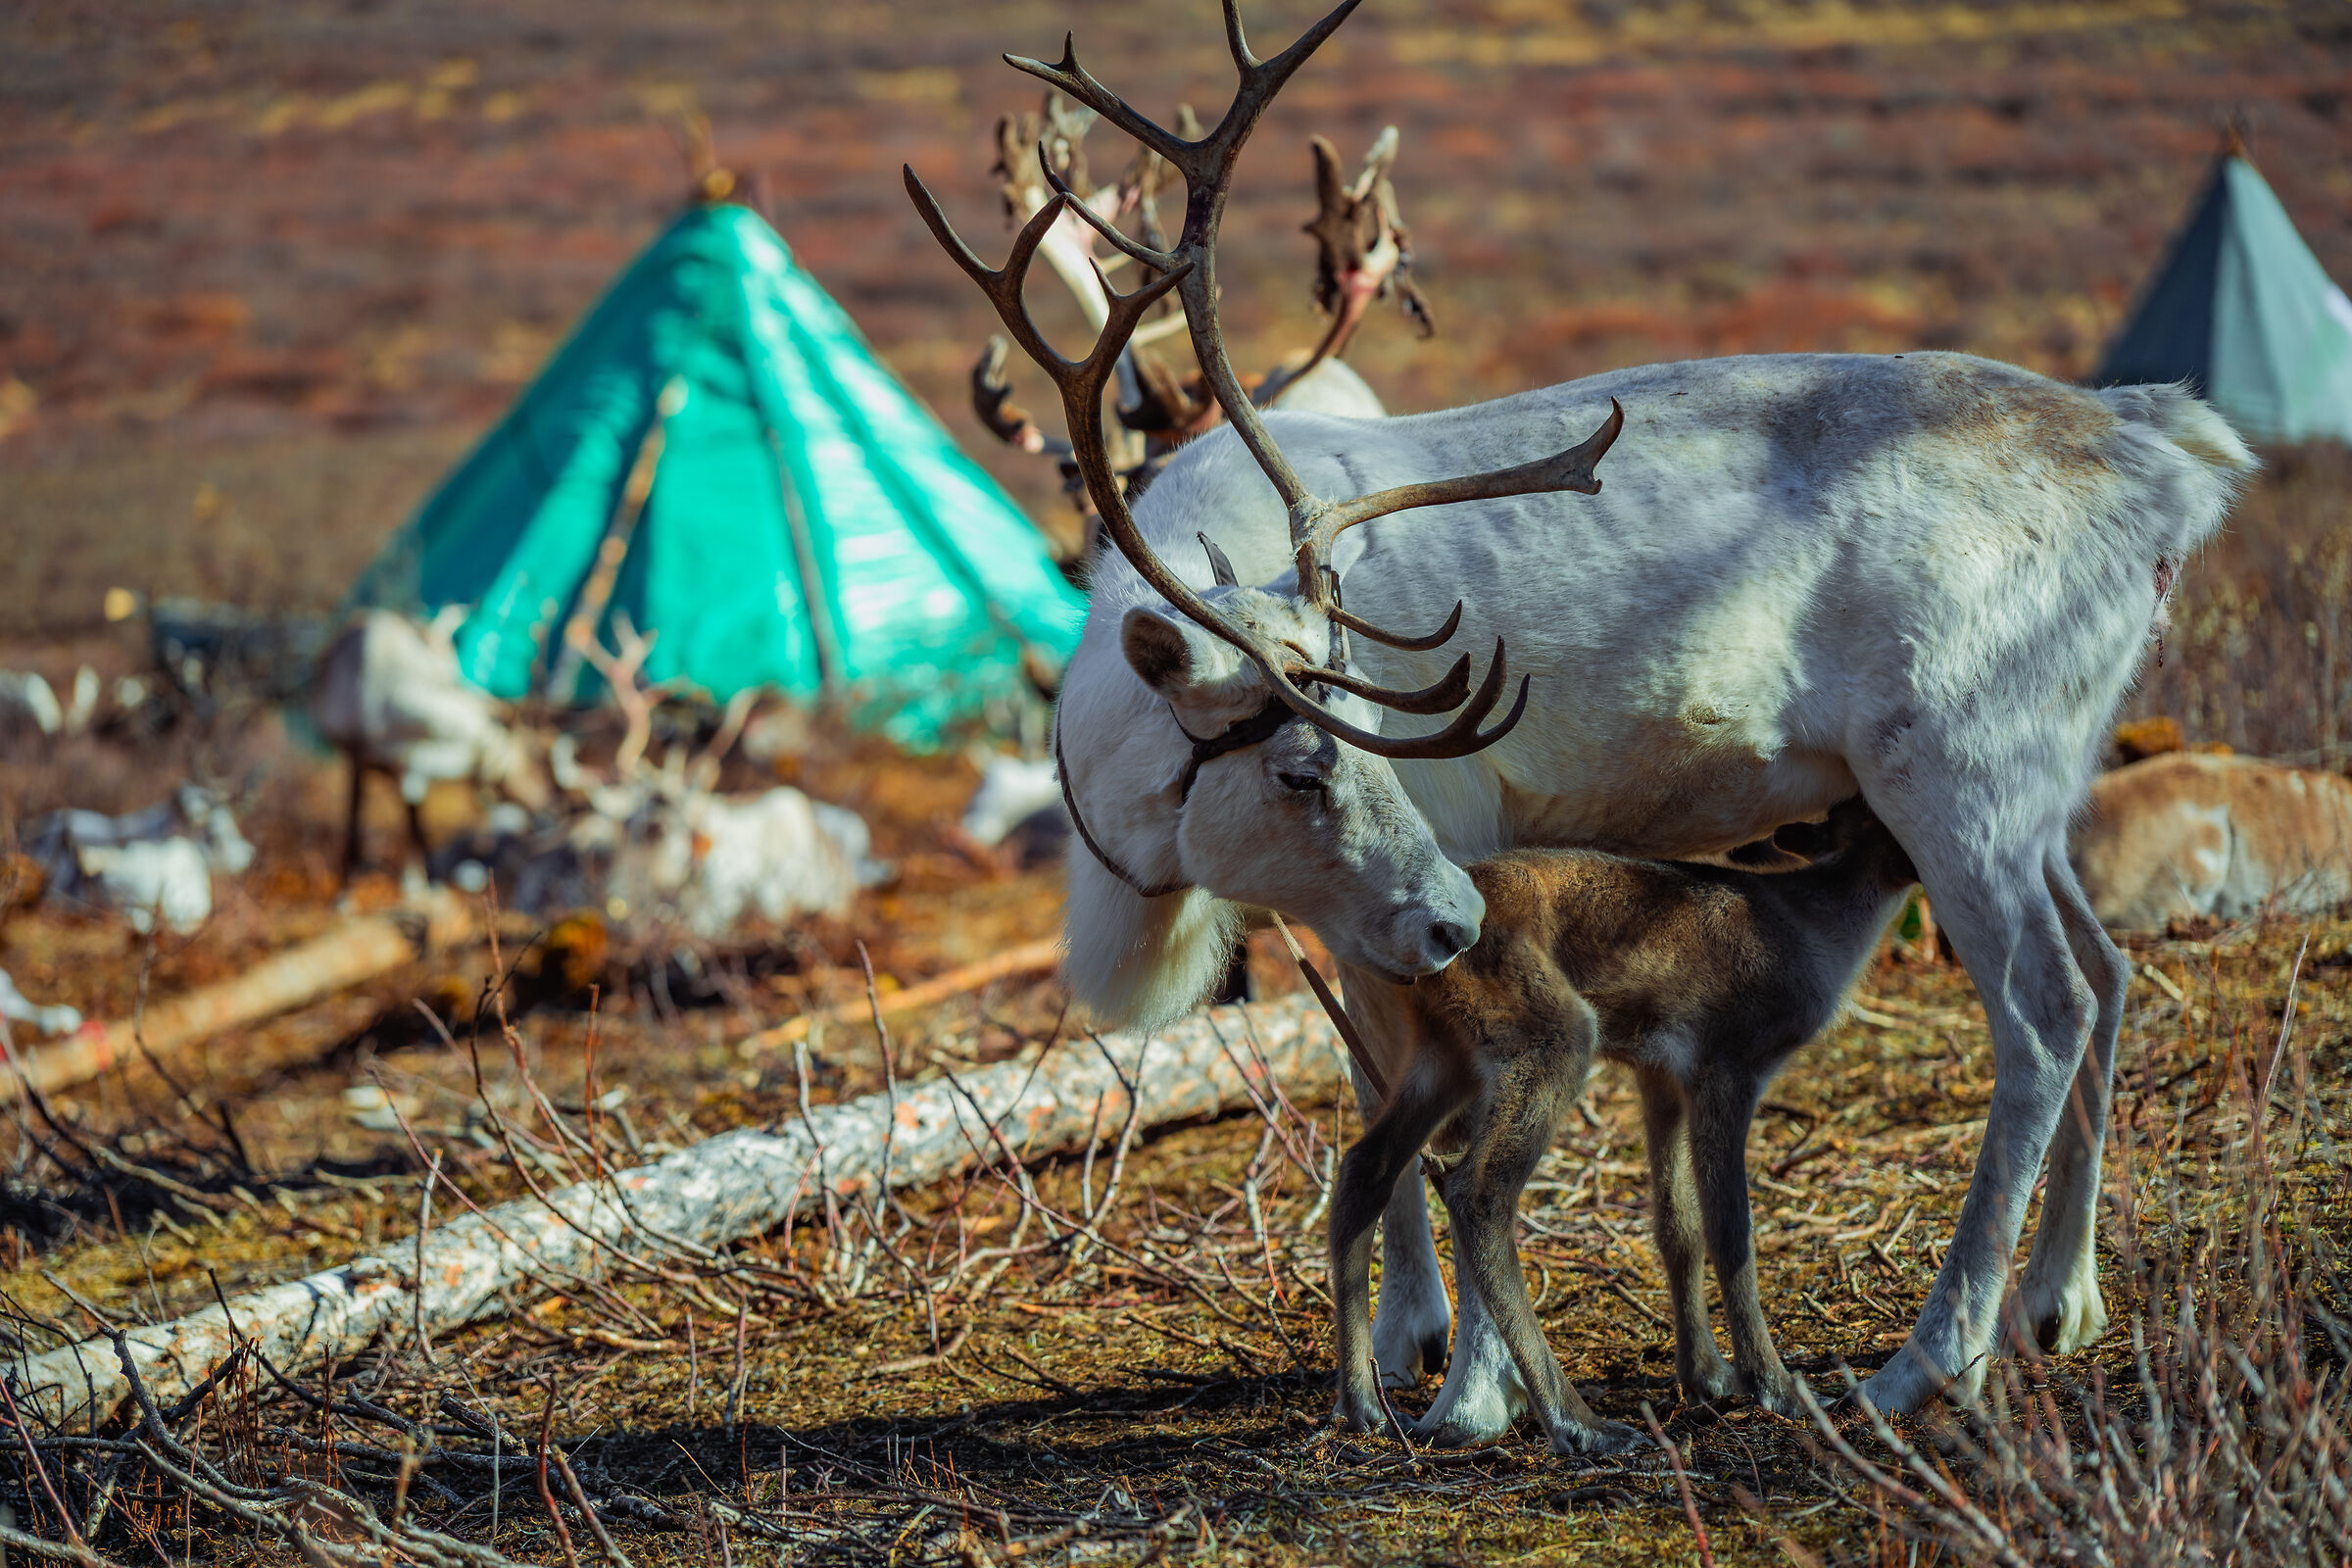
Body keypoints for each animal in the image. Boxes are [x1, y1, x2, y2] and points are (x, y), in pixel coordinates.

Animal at [1315, 796, 1917, 1451]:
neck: (1813, 931)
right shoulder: (1728, 1064)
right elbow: (1731, 1230)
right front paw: (1776, 1387)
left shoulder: (1661, 1075)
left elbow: (1679, 1226)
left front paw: (1705, 1376)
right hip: (1555, 1034)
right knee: (1477, 1188)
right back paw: (1578, 1423)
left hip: (1442, 1054)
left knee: (1365, 1166)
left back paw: (1361, 1404)